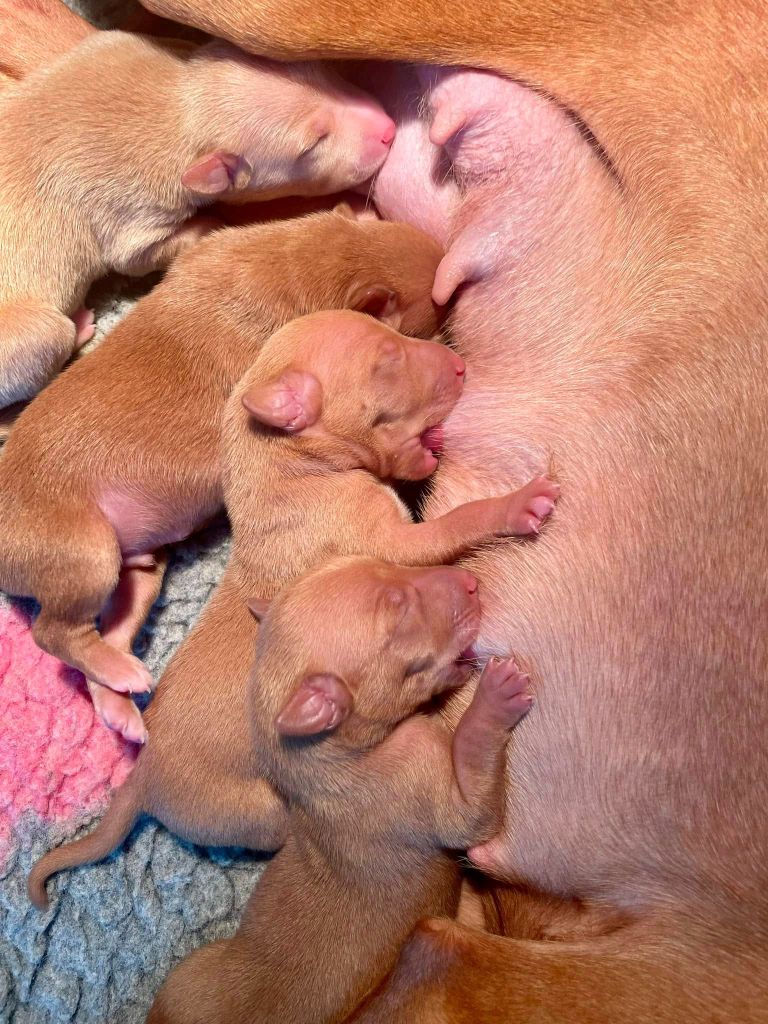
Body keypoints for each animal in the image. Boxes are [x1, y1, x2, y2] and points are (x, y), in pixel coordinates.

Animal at [0, 24, 397, 409]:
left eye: (326, 72)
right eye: (313, 144)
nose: (390, 130)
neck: (181, 108)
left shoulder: (112, 47)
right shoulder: (134, 211)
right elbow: (137, 257)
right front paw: (213, 222)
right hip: (31, 332)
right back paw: (80, 324)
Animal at [27, 307, 557, 909]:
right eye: (387, 361)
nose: (460, 363)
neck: (288, 471)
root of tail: (141, 778)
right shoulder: (391, 544)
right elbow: (455, 524)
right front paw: (515, 505)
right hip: (256, 811)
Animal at [147, 557, 536, 1024]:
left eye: (388, 566)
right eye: (398, 607)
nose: (471, 581)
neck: (327, 760)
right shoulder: (423, 787)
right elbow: (472, 791)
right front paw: (495, 697)